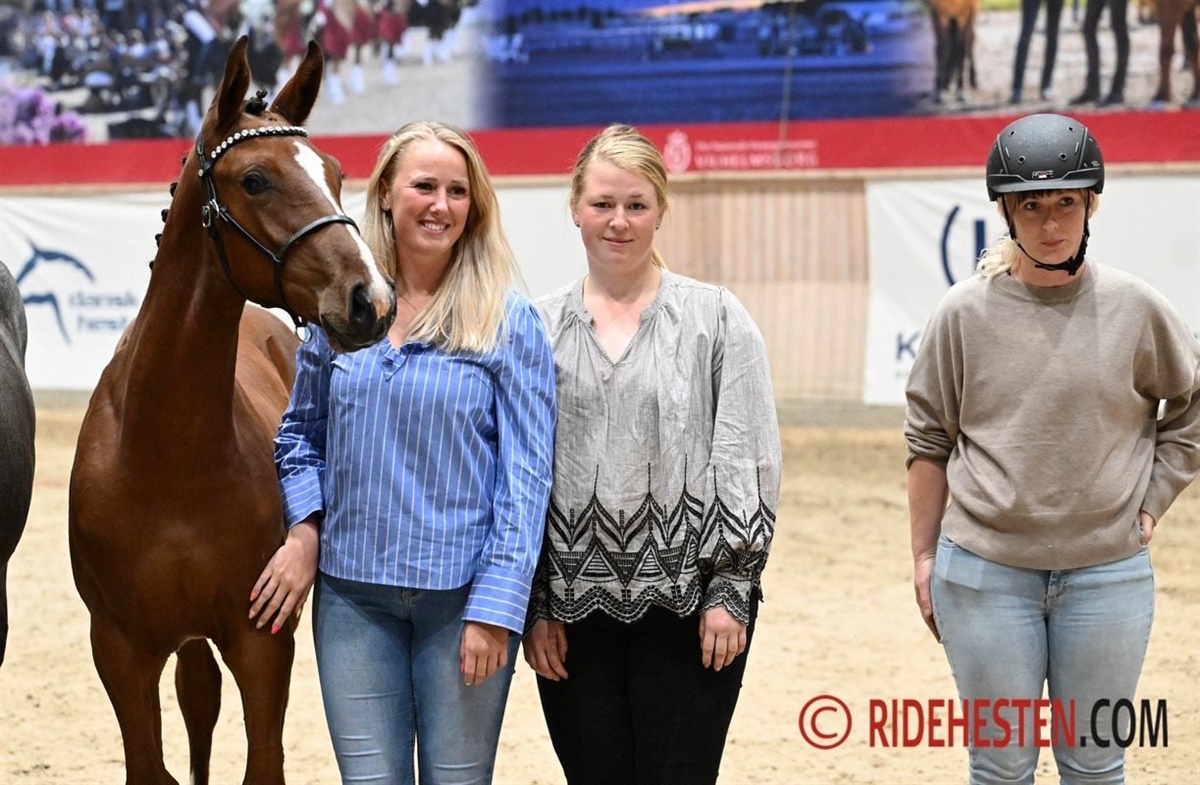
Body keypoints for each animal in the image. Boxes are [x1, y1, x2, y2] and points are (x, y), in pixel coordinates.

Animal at [68, 36, 395, 785]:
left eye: (335, 173)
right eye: (255, 180)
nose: (370, 298)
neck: (167, 456)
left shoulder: (261, 639)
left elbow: (261, 759)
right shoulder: (119, 649)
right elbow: (150, 763)